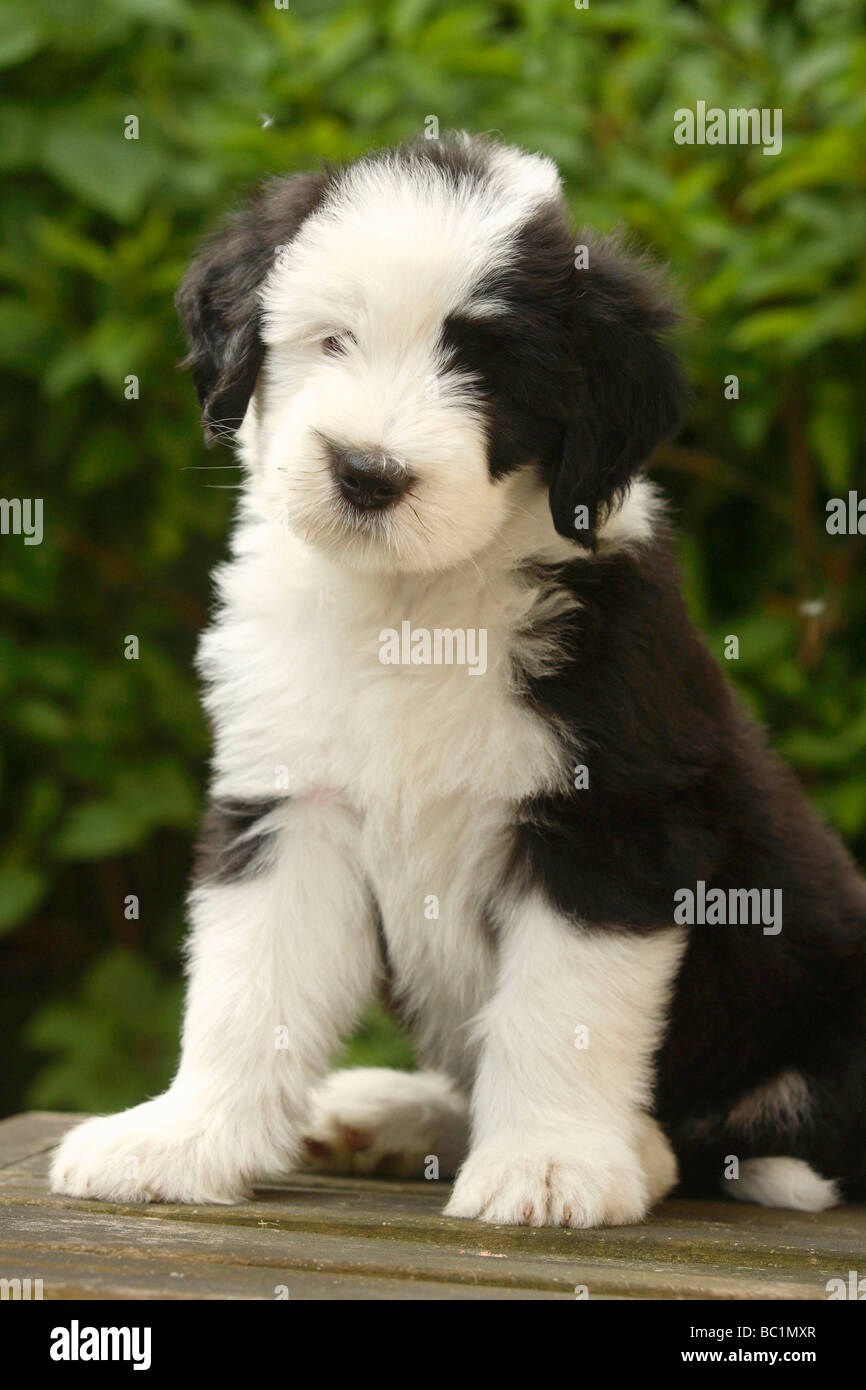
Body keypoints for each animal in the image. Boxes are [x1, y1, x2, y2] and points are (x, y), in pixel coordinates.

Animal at [52, 135, 866, 1228]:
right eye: (333, 339)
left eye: (485, 372)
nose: (366, 472)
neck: (413, 613)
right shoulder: (292, 801)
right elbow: (246, 991)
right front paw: (181, 1140)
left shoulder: (609, 820)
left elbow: (557, 1007)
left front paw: (552, 1162)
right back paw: (384, 1114)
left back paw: (645, 1149)